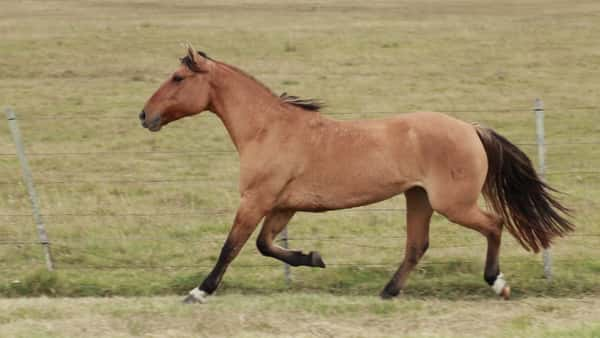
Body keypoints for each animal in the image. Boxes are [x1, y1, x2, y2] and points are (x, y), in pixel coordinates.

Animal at [138, 45, 576, 304]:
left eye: (178, 78)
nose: (145, 115)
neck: (268, 129)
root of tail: (470, 127)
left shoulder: (256, 200)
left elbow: (232, 247)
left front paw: (198, 291)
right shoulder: (282, 206)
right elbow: (265, 245)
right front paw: (314, 258)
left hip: (453, 203)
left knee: (494, 224)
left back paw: (497, 282)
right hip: (418, 198)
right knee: (417, 246)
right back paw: (387, 292)